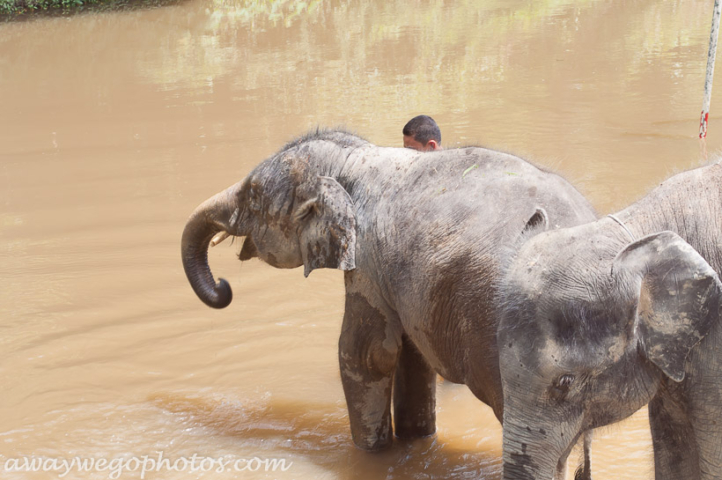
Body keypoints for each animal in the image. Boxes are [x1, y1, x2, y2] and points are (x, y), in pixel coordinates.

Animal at [181, 129, 596, 466]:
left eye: (253, 197)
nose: (223, 287)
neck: (354, 158)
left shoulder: (367, 260)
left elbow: (365, 353)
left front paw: (373, 457)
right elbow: (412, 357)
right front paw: (415, 440)